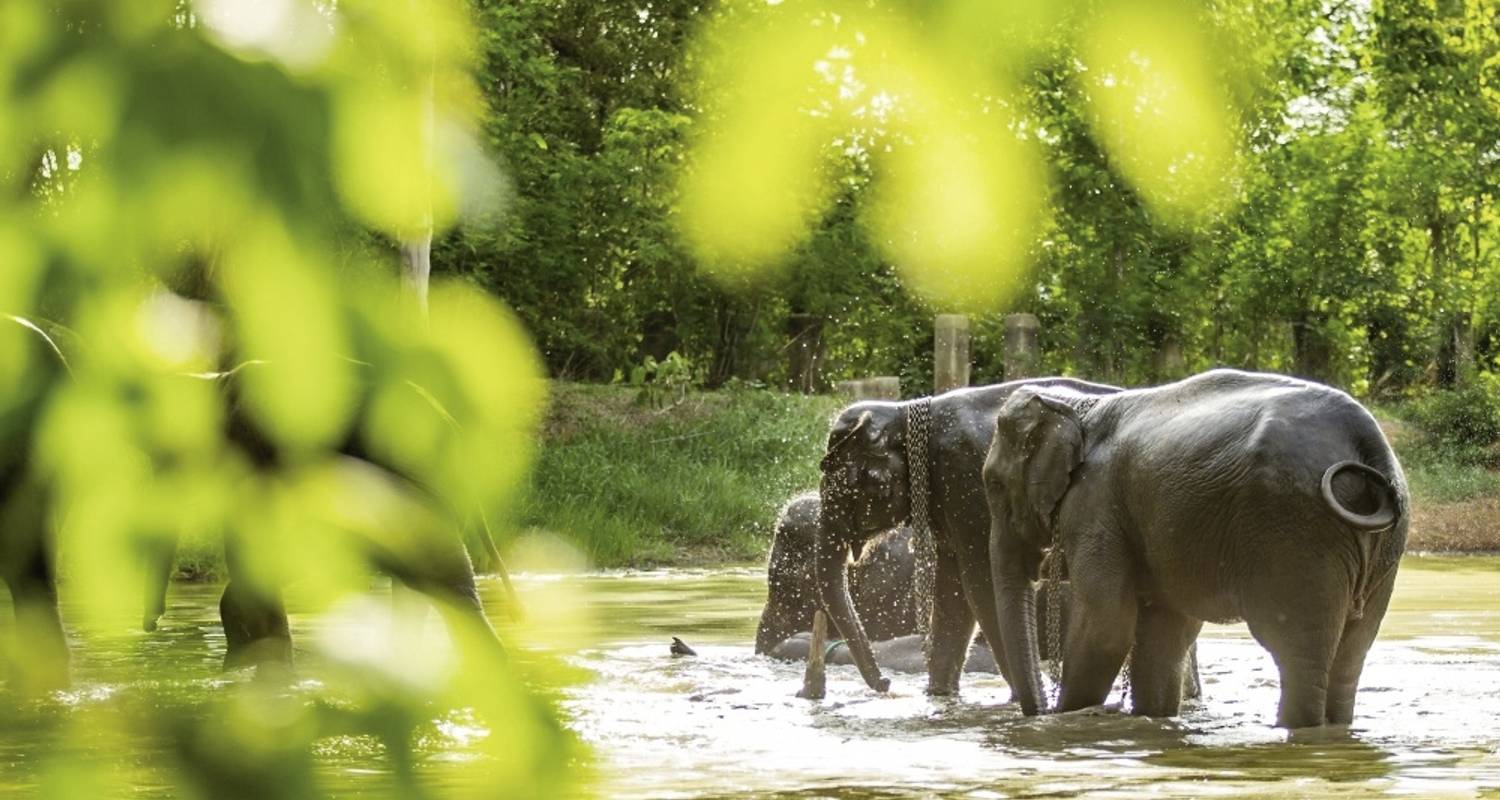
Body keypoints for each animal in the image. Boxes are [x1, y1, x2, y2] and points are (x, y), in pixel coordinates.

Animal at [816, 373, 1122, 693]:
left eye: (846, 489)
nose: (886, 683)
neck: (901, 412)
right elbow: (953, 595)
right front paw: (939, 694)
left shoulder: (966, 485)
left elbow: (980, 585)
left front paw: (1017, 698)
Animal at [984, 367, 1404, 723]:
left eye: (993, 484)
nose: (1039, 713)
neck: (1079, 407)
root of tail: (1369, 442)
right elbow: (1165, 630)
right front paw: (1149, 718)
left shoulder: (1094, 505)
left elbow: (1105, 625)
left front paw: (1067, 718)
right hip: (1381, 553)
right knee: (1351, 655)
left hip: (1295, 530)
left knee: (1295, 652)